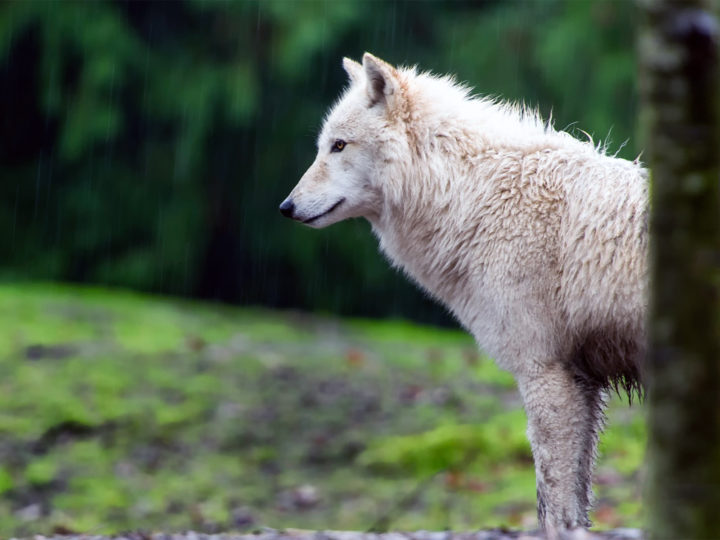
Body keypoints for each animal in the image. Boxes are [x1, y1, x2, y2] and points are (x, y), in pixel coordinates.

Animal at [279, 53, 648, 535]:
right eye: (325, 145)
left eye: (338, 146)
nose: (285, 207)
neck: (473, 197)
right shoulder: (579, 380)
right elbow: (570, 506)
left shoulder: (545, 372)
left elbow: (553, 505)